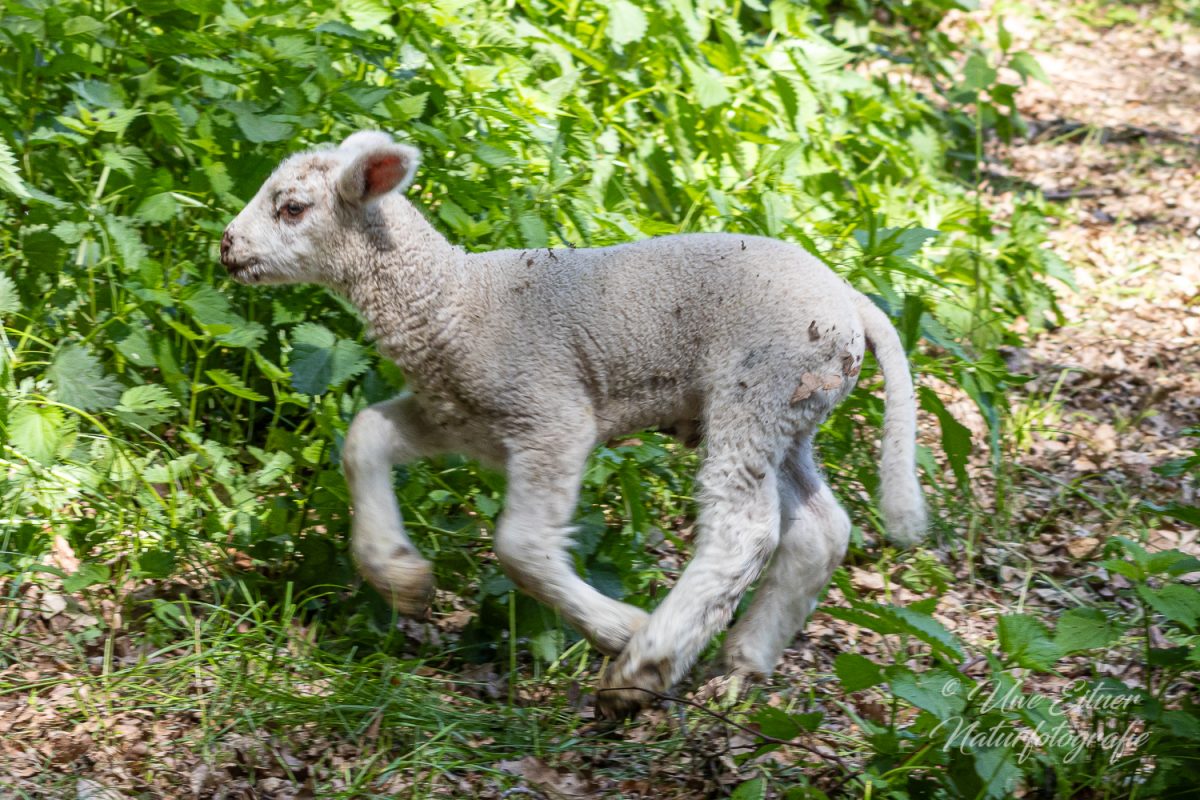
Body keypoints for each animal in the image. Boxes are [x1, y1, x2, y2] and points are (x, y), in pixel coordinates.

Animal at [219, 130, 926, 718]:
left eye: (291, 208)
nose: (226, 246)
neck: (452, 300)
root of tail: (852, 299)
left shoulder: (551, 416)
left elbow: (521, 547)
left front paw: (619, 628)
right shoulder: (460, 418)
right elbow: (364, 436)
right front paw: (402, 579)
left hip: (759, 387)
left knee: (744, 530)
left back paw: (643, 668)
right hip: (792, 410)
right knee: (819, 529)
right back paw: (741, 665)